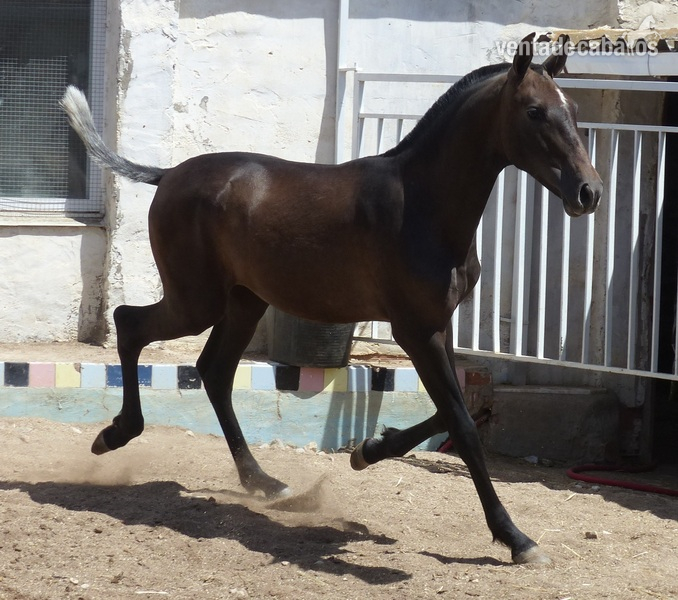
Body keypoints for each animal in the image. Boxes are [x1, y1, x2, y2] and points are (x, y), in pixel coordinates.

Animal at [61, 33, 602, 565]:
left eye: (573, 108)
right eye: (534, 111)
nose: (588, 192)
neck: (422, 203)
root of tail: (168, 174)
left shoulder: (438, 324)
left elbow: (455, 411)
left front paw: (369, 449)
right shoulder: (416, 330)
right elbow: (463, 423)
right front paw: (515, 538)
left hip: (244, 301)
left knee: (213, 370)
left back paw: (264, 482)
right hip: (197, 301)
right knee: (130, 324)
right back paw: (115, 434)